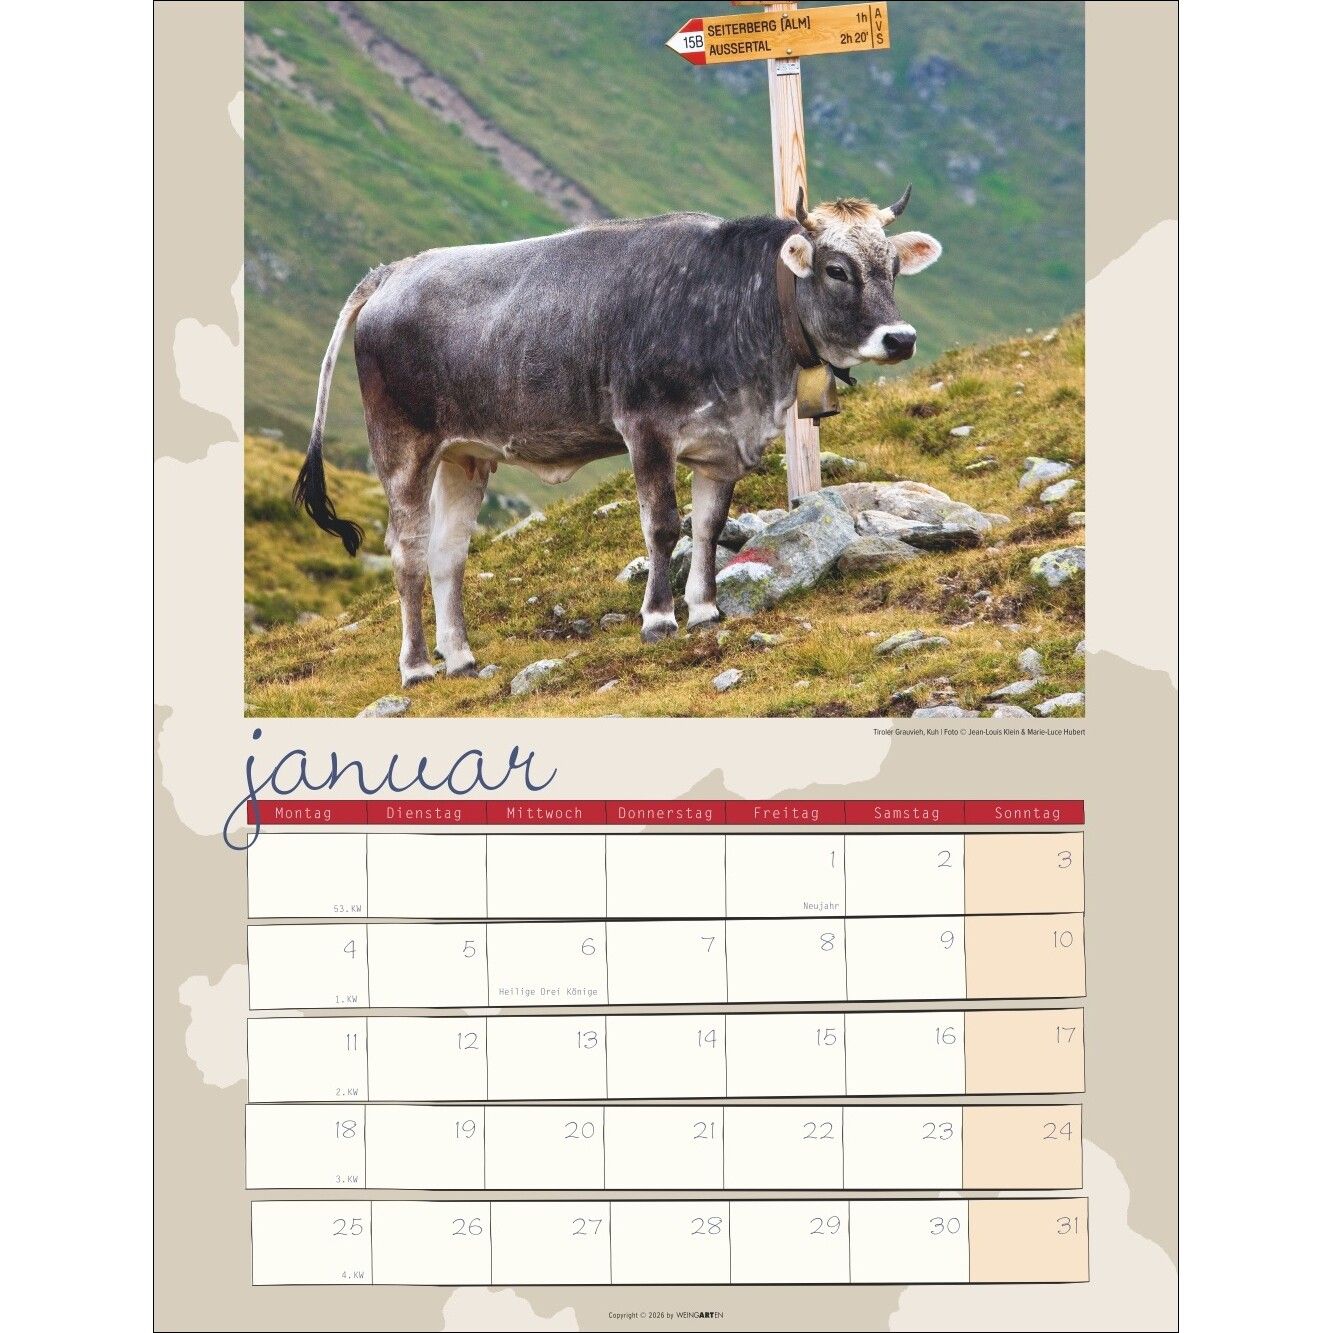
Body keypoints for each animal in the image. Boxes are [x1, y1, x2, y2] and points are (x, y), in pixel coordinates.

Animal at [293, 189, 941, 687]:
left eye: (892, 268)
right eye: (837, 270)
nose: (901, 338)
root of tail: (394, 272)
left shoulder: (721, 445)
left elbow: (708, 527)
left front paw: (705, 609)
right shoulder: (647, 430)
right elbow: (663, 526)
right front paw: (658, 618)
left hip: (465, 456)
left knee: (447, 553)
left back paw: (461, 658)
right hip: (402, 449)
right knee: (406, 552)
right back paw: (417, 667)